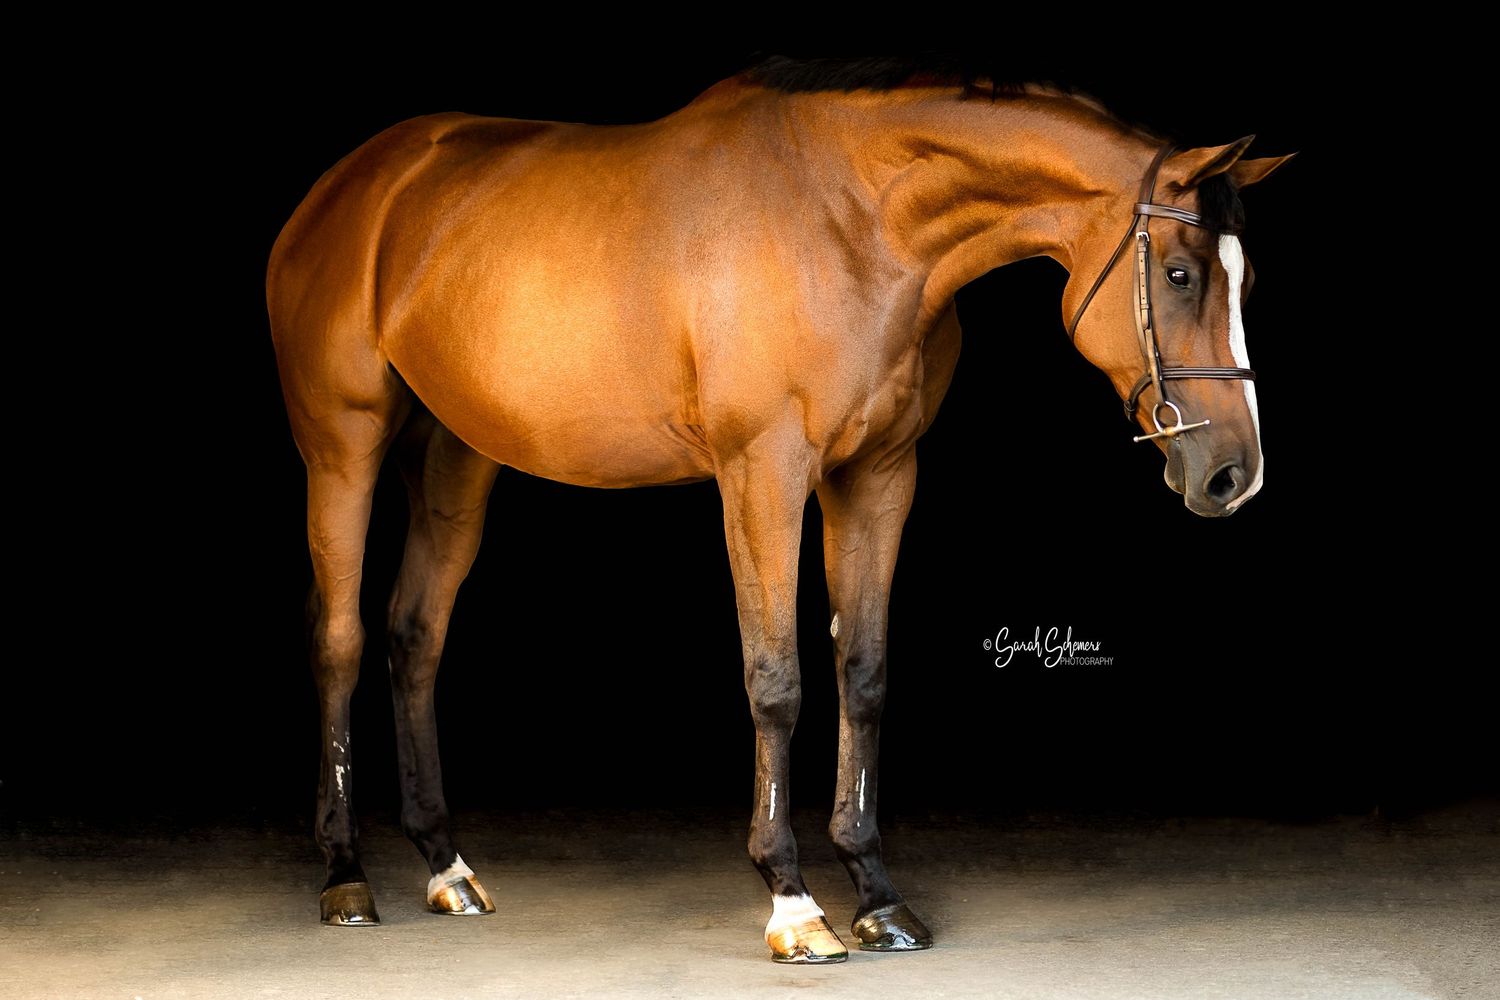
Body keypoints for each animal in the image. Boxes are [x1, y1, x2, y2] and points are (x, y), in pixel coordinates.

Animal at [266, 58, 1293, 963]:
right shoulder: (763, 475)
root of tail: (348, 184)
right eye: (1182, 276)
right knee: (340, 640)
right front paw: (793, 903)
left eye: (1243, 280)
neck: (851, 227)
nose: (1232, 475)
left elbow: (864, 674)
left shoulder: (879, 478)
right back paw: (345, 876)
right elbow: (777, 681)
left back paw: (445, 866)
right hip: (343, 445)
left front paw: (876, 894)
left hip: (459, 457)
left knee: (415, 636)